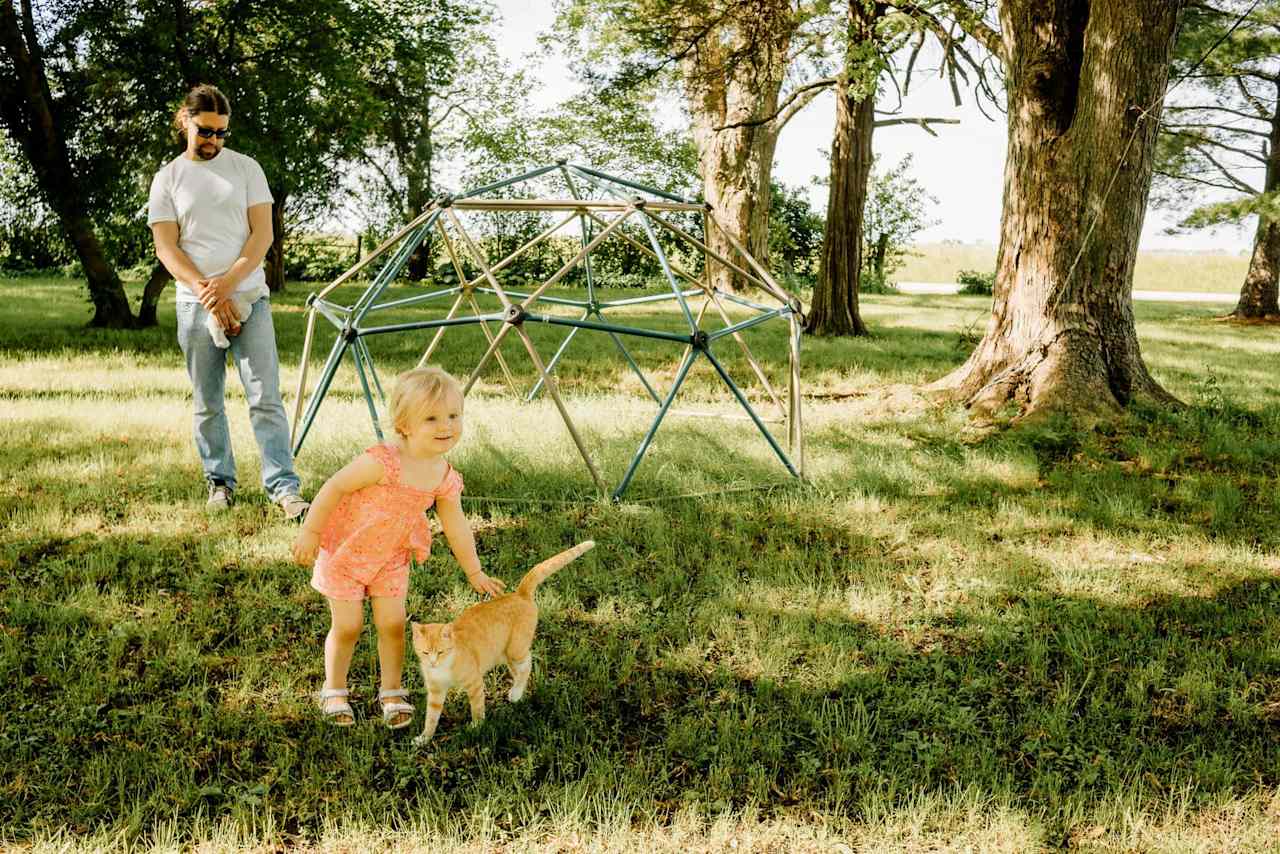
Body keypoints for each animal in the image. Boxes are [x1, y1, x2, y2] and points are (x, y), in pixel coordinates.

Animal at [409, 545, 593, 742]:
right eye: (425, 653)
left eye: (441, 652)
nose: (432, 663)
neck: (444, 666)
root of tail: (519, 594)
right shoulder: (436, 693)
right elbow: (431, 718)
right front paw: (424, 739)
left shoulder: (475, 683)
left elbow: (477, 708)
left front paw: (476, 727)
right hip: (505, 654)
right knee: (519, 671)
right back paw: (517, 692)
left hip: (516, 649)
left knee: (528, 663)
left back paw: (516, 693)